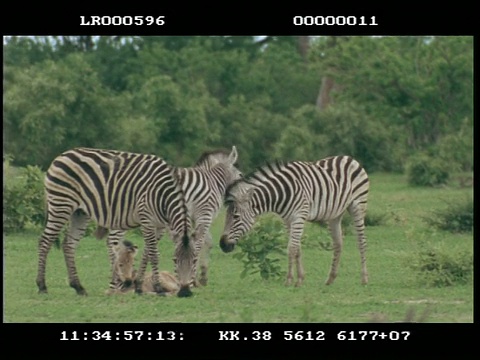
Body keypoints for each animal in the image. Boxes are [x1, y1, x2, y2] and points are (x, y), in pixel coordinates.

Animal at [35, 148, 194, 296]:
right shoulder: (146, 219)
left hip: (79, 213)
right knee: (45, 241)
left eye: (194, 261)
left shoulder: (159, 226)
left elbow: (147, 253)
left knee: (69, 245)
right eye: (175, 260)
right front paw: (158, 287)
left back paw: (78, 287)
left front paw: (139, 286)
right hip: (61, 204)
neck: (163, 195)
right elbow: (154, 254)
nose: (185, 293)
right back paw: (42, 286)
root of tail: (61, 155)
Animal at [104, 146, 240, 292]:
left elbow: (206, 242)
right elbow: (200, 243)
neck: (212, 181)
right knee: (112, 241)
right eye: (240, 176)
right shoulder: (204, 214)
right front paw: (194, 278)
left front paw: (200, 276)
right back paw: (115, 280)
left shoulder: (192, 218)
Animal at [219, 155, 370, 286]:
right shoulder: (287, 220)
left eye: (236, 217)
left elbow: (291, 248)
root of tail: (348, 157)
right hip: (335, 214)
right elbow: (297, 248)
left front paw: (290, 280)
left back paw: (364, 278)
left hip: (358, 205)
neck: (281, 194)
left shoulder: (298, 217)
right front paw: (300, 279)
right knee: (338, 243)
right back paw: (330, 279)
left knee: (361, 241)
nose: (223, 245)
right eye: (226, 217)